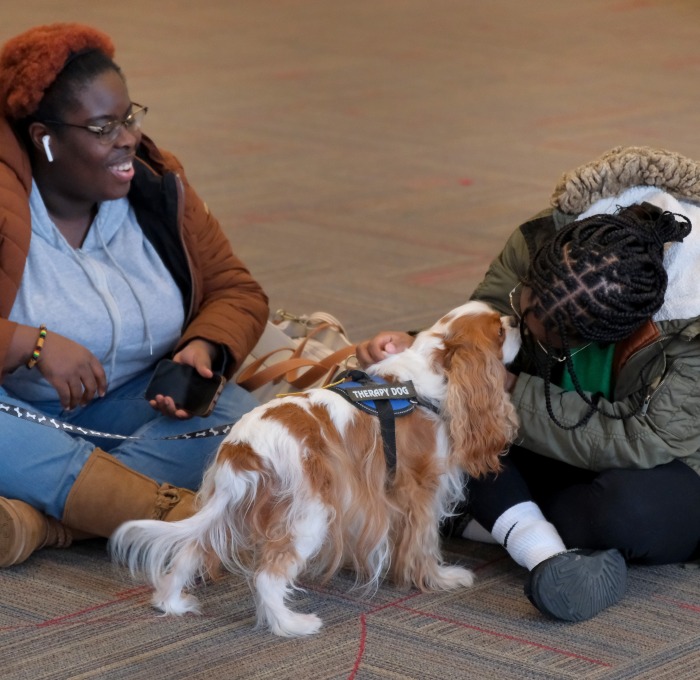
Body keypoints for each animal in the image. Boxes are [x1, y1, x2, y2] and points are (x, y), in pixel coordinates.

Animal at [110, 302, 520, 636]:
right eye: (499, 332)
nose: (515, 320)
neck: (427, 374)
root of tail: (243, 449)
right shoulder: (422, 489)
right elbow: (424, 543)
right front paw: (440, 578)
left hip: (230, 508)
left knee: (189, 552)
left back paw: (172, 602)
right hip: (309, 514)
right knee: (267, 576)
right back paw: (291, 624)